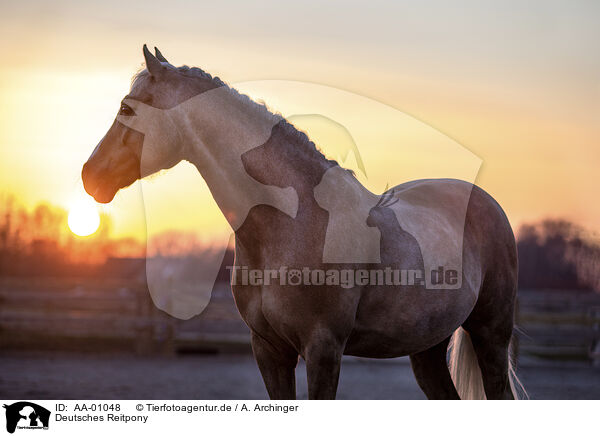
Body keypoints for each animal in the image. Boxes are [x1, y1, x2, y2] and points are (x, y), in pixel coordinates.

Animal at [82, 46, 524, 400]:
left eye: (126, 108)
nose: (90, 176)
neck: (292, 224)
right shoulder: (269, 350)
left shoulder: (322, 350)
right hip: (427, 347)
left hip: (490, 334)